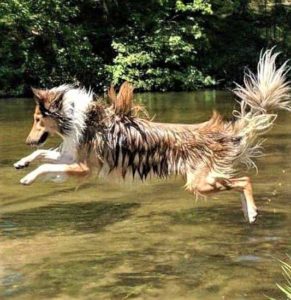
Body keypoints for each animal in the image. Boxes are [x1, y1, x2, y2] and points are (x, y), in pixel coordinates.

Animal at [14, 49, 291, 223]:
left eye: (37, 120)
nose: (26, 140)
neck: (76, 117)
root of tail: (221, 133)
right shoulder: (71, 156)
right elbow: (43, 155)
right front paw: (22, 163)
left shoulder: (83, 168)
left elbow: (45, 166)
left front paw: (27, 178)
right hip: (204, 181)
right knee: (239, 180)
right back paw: (248, 212)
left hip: (200, 183)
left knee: (244, 180)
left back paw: (251, 212)